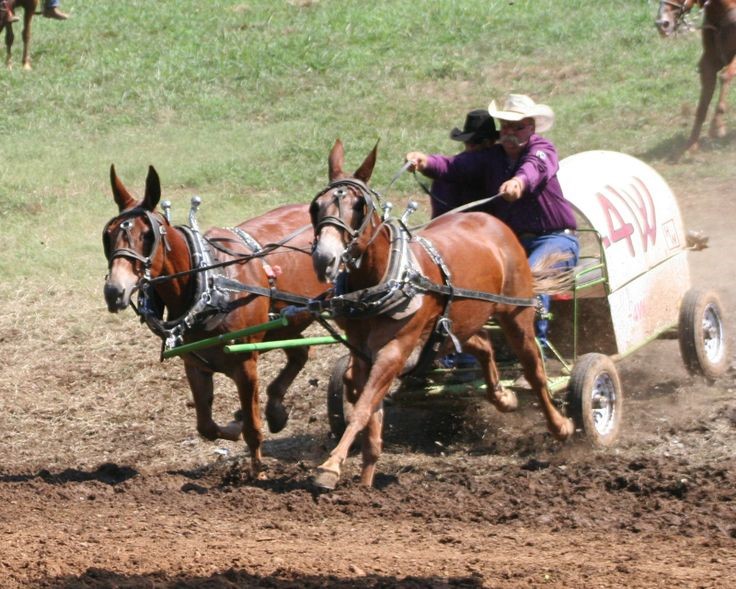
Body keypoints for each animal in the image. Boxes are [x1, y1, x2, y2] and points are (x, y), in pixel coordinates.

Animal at [103, 165, 324, 478]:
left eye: (147, 235)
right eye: (109, 235)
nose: (115, 291)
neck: (210, 285)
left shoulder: (246, 364)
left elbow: (253, 429)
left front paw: (258, 472)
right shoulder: (195, 365)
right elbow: (206, 426)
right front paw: (235, 425)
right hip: (289, 321)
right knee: (301, 352)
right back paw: (276, 410)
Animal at [310, 140, 576, 490]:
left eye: (358, 207)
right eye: (316, 206)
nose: (324, 259)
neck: (381, 280)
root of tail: (490, 220)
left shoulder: (394, 350)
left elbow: (363, 407)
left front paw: (330, 467)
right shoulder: (363, 352)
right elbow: (368, 413)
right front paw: (366, 484)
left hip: (516, 314)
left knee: (534, 372)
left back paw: (560, 425)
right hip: (455, 326)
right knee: (483, 345)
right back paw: (503, 397)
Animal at [656, 0, 736, 152]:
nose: (662, 24)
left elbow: (724, 77)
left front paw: (717, 127)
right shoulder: (709, 63)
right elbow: (702, 106)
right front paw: (691, 145)